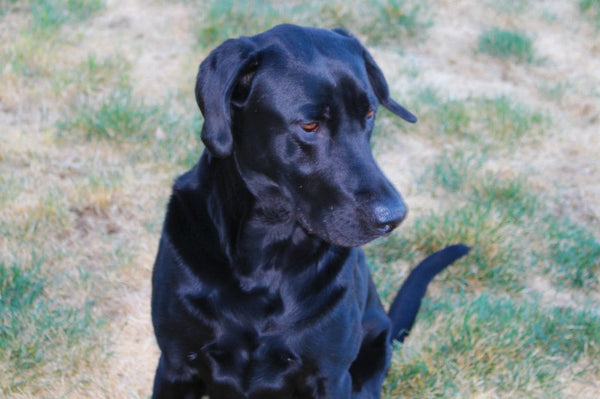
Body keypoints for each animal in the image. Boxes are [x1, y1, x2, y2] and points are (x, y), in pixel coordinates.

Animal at [150, 25, 468, 399]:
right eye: (310, 126)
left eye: (370, 114)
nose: (394, 217)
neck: (267, 255)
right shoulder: (176, 365)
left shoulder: (331, 376)